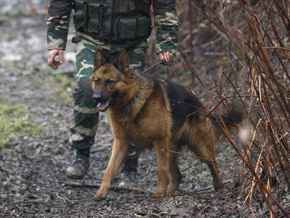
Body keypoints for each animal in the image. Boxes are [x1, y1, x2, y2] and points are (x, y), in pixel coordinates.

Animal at [92, 49, 242, 199]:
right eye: (96, 81)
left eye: (110, 82)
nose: (96, 98)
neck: (131, 100)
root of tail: (201, 105)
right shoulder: (121, 142)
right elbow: (109, 170)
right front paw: (101, 191)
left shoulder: (160, 141)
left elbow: (161, 171)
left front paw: (159, 192)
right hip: (171, 150)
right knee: (178, 176)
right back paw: (169, 193)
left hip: (200, 148)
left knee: (213, 166)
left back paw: (219, 187)